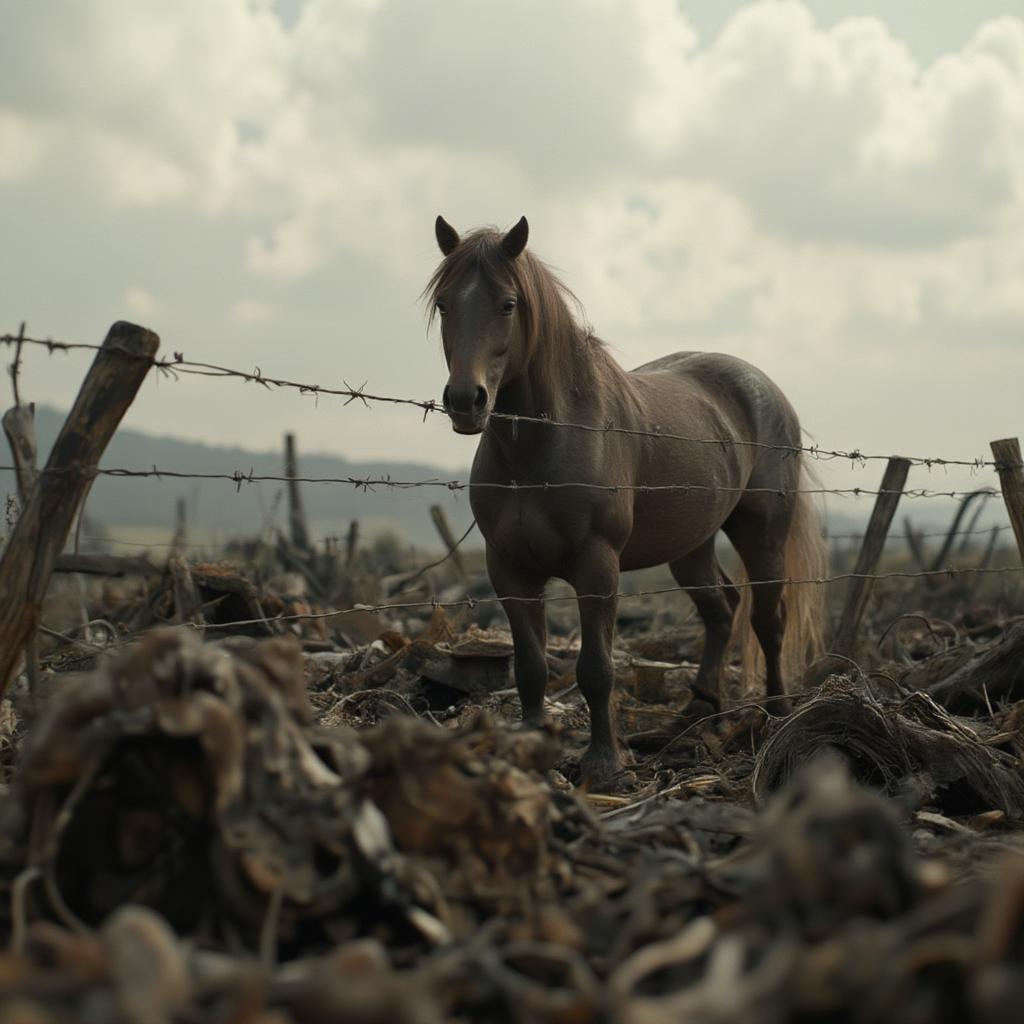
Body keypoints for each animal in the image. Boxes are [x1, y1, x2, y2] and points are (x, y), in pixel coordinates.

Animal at [428, 211, 827, 778]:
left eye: (508, 303)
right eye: (444, 303)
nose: (466, 401)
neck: (540, 447)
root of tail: (766, 389)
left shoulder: (597, 567)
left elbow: (596, 668)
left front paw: (603, 762)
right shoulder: (509, 569)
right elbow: (529, 665)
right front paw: (531, 744)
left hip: (762, 534)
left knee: (768, 620)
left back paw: (775, 712)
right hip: (691, 546)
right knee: (721, 609)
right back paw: (697, 709)